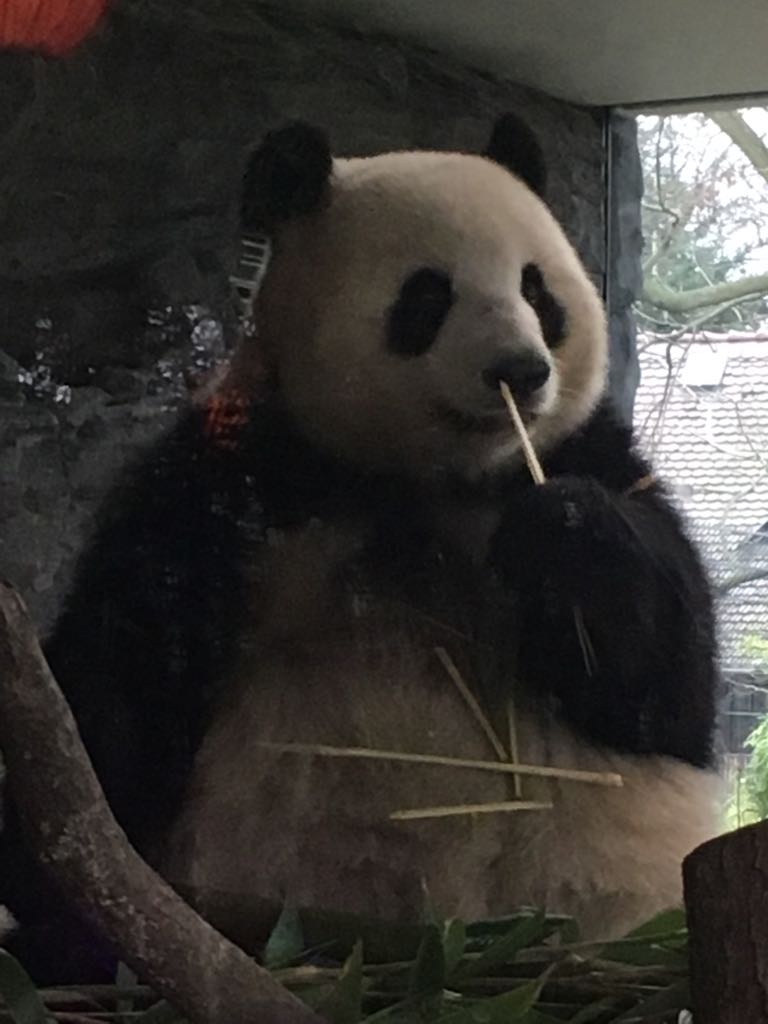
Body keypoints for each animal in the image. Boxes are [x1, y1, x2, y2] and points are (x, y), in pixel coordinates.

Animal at [1, 114, 720, 980]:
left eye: (536, 290)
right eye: (428, 295)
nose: (521, 371)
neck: (422, 481)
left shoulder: (592, 454)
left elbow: (668, 694)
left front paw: (566, 536)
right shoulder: (233, 482)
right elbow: (121, 680)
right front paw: (53, 893)